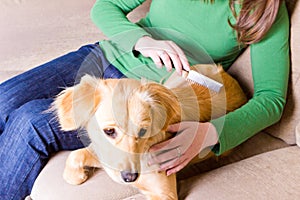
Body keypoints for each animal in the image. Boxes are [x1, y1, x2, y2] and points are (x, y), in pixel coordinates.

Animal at [52, 65, 247, 199]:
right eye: (109, 131)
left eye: (143, 131)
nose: (130, 177)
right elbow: (75, 155)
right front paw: (75, 176)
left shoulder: (165, 194)